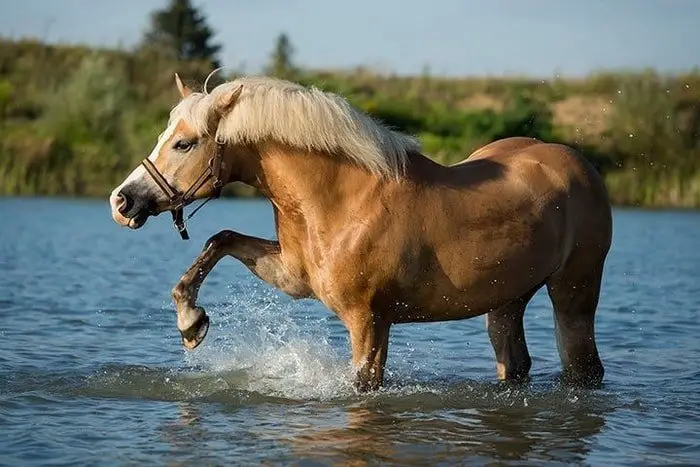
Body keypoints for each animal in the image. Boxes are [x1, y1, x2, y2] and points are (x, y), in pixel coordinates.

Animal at [109, 75, 612, 394]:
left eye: (184, 143)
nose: (122, 201)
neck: (344, 201)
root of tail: (579, 163)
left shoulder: (367, 321)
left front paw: (191, 321)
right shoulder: (294, 277)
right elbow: (221, 239)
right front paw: (191, 323)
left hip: (574, 293)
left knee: (583, 367)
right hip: (506, 301)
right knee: (516, 365)